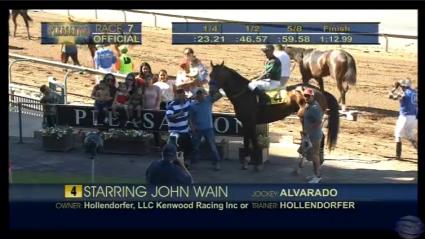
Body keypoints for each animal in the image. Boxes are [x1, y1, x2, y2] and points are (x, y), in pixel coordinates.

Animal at [207, 62, 340, 172]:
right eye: (210, 75)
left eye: (219, 76)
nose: (212, 92)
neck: (245, 94)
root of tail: (320, 91)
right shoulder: (245, 122)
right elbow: (246, 141)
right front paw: (245, 162)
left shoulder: (251, 122)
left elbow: (254, 142)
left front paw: (257, 164)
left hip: (308, 119)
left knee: (316, 137)